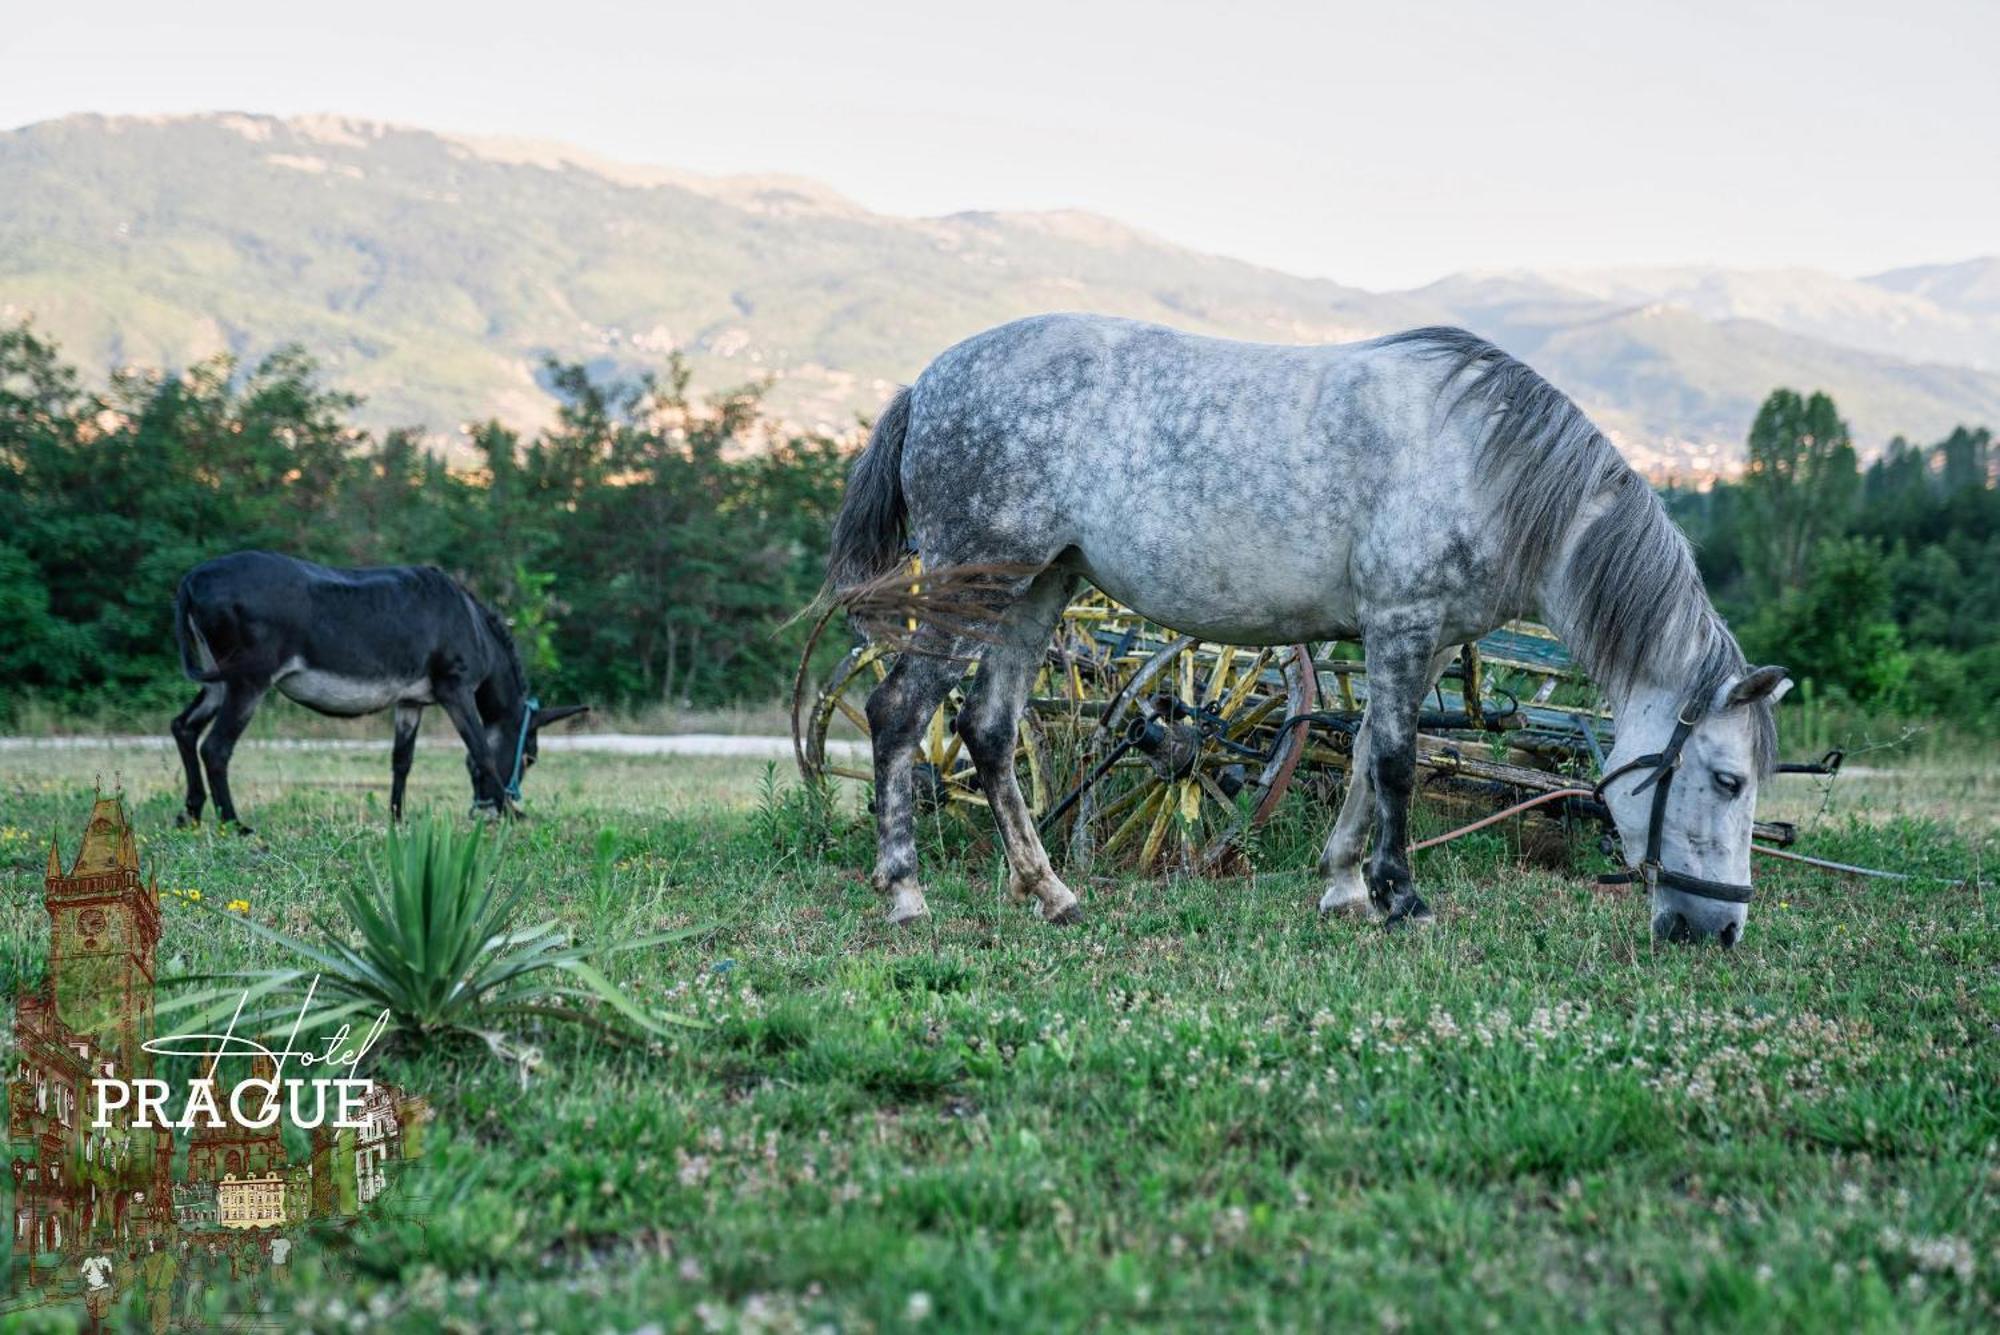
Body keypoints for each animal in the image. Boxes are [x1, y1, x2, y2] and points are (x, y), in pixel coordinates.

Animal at [172, 551, 584, 823]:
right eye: (530, 758)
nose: (487, 811)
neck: (474, 626)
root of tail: (192, 579)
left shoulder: (411, 701)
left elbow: (402, 760)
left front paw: (397, 818)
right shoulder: (456, 690)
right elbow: (481, 750)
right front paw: (515, 817)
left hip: (218, 677)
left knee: (184, 727)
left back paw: (192, 814)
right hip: (250, 680)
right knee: (216, 747)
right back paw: (234, 824)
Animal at [820, 313, 1792, 943]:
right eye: (1728, 779)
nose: (1719, 930)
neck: (1490, 467)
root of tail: (931, 381)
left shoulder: (1420, 642)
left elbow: (1365, 754)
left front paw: (1346, 887)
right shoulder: (1402, 627)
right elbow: (1397, 761)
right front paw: (1401, 898)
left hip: (1036, 587)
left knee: (988, 729)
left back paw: (1052, 892)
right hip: (976, 586)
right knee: (900, 715)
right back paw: (906, 895)